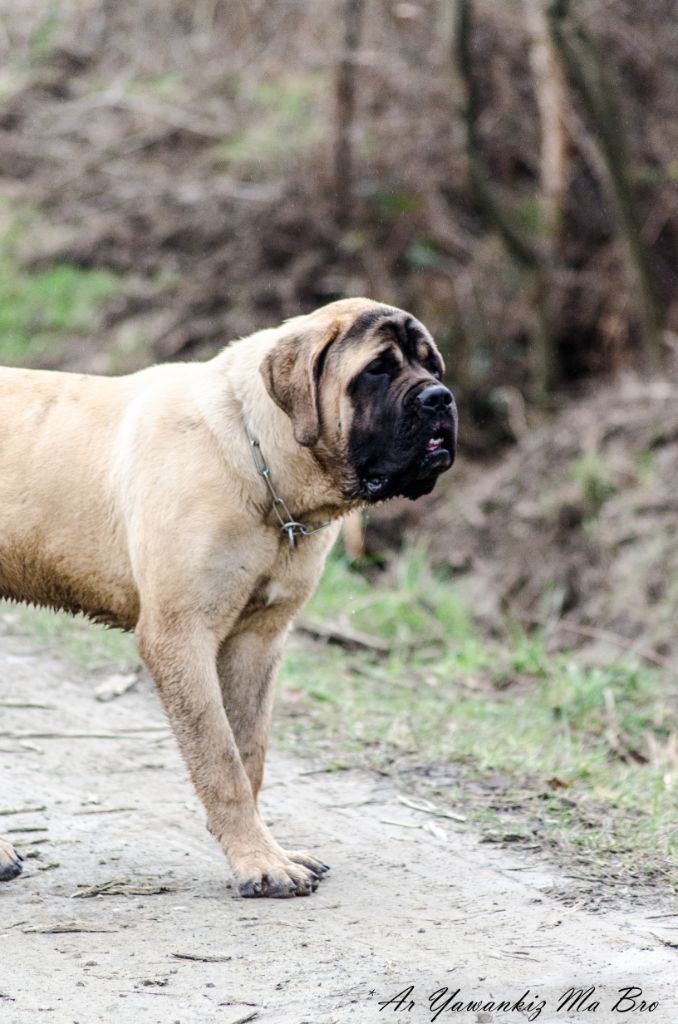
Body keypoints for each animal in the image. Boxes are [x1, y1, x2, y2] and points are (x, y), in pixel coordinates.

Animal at [0, 296, 458, 897]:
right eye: (377, 370)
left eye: (433, 366)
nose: (440, 398)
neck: (257, 457)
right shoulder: (180, 636)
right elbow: (220, 760)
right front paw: (259, 862)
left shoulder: (256, 640)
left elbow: (249, 755)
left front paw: (266, 850)